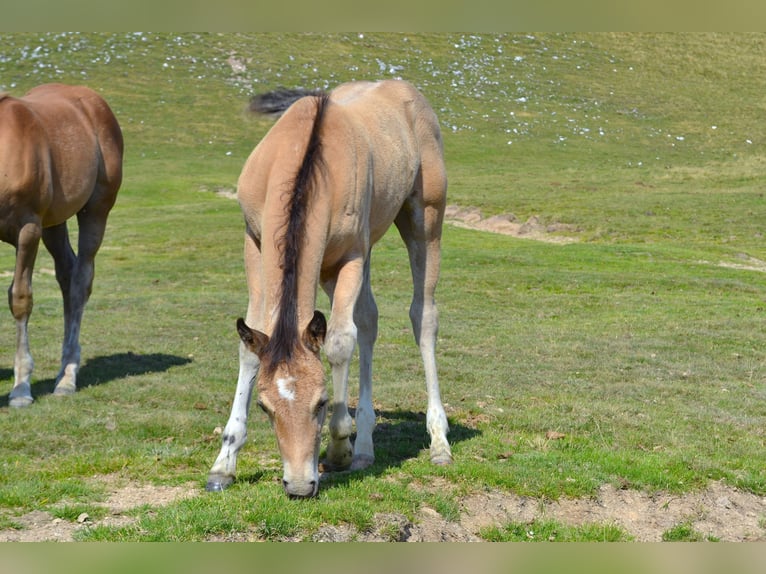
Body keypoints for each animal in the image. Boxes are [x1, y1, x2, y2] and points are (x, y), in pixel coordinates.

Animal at [0, 83, 123, 407]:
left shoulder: (28, 229)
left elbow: (20, 298)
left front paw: (21, 388)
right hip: (54, 223)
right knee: (67, 276)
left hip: (96, 210)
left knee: (80, 282)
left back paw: (67, 378)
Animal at [207, 79, 452, 498]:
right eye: (265, 407)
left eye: (321, 403)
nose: (299, 485)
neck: (305, 158)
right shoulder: (254, 242)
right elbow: (251, 346)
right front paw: (224, 463)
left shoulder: (351, 255)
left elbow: (338, 342)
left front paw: (339, 448)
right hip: (331, 266)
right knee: (369, 319)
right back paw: (366, 446)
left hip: (425, 221)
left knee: (423, 316)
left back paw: (437, 441)